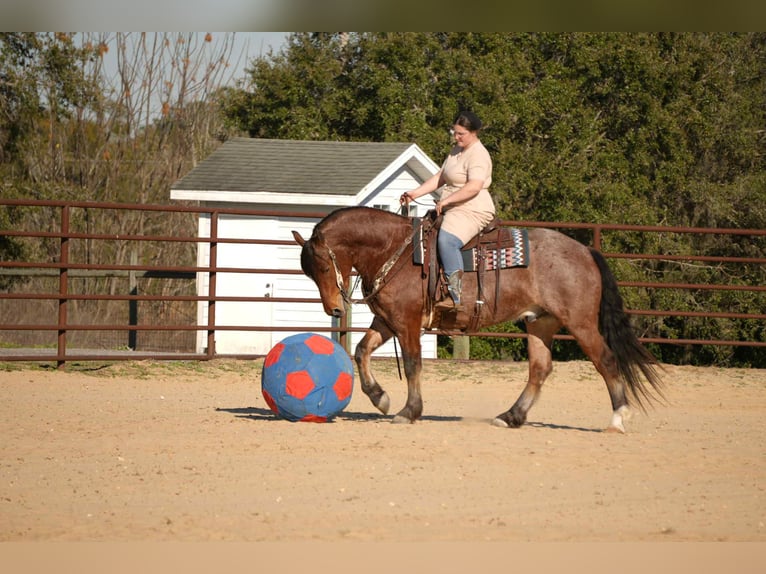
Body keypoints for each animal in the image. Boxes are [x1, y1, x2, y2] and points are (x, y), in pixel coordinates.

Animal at [292, 206, 664, 433]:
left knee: (605, 360)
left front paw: (409, 411)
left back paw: (618, 418)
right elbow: (361, 352)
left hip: (581, 323)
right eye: (307, 271)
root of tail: (586, 251)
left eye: (322, 264)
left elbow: (412, 365)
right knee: (539, 369)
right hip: (540, 323)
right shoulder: (387, 321)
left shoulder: (408, 324)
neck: (395, 251)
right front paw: (380, 398)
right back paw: (511, 416)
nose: (334, 309)